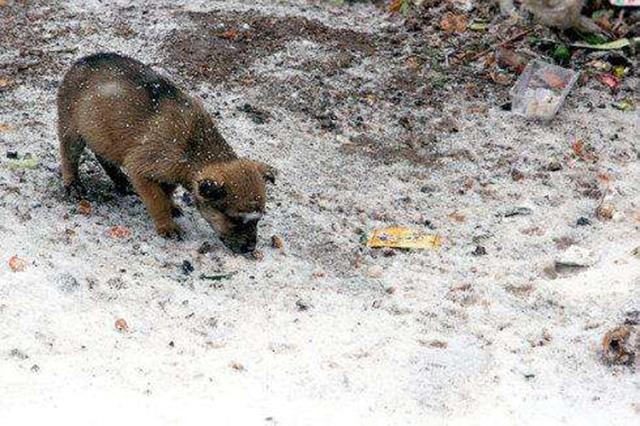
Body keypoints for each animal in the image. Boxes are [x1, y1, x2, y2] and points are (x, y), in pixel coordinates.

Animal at [60, 52, 278, 253]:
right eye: (234, 219)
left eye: (258, 219)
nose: (250, 249)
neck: (193, 149)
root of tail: (81, 61)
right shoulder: (141, 168)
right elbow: (158, 201)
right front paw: (167, 226)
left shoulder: (170, 173)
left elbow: (167, 191)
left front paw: (172, 206)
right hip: (72, 130)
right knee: (69, 158)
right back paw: (74, 185)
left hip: (103, 135)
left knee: (104, 157)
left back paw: (121, 182)